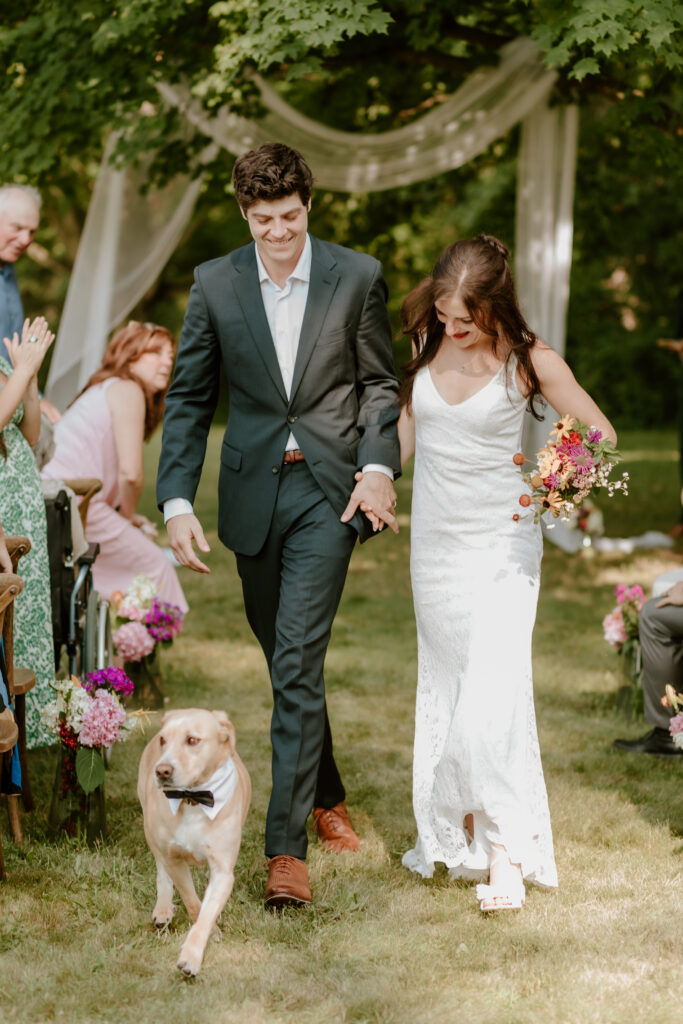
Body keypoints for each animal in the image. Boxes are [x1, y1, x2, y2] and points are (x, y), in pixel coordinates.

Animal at [136, 704, 250, 974]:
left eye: (192, 740)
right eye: (163, 740)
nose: (162, 770)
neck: (193, 798)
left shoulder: (223, 871)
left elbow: (207, 911)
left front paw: (192, 954)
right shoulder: (174, 860)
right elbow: (193, 903)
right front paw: (209, 933)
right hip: (151, 832)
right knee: (161, 871)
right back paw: (163, 907)